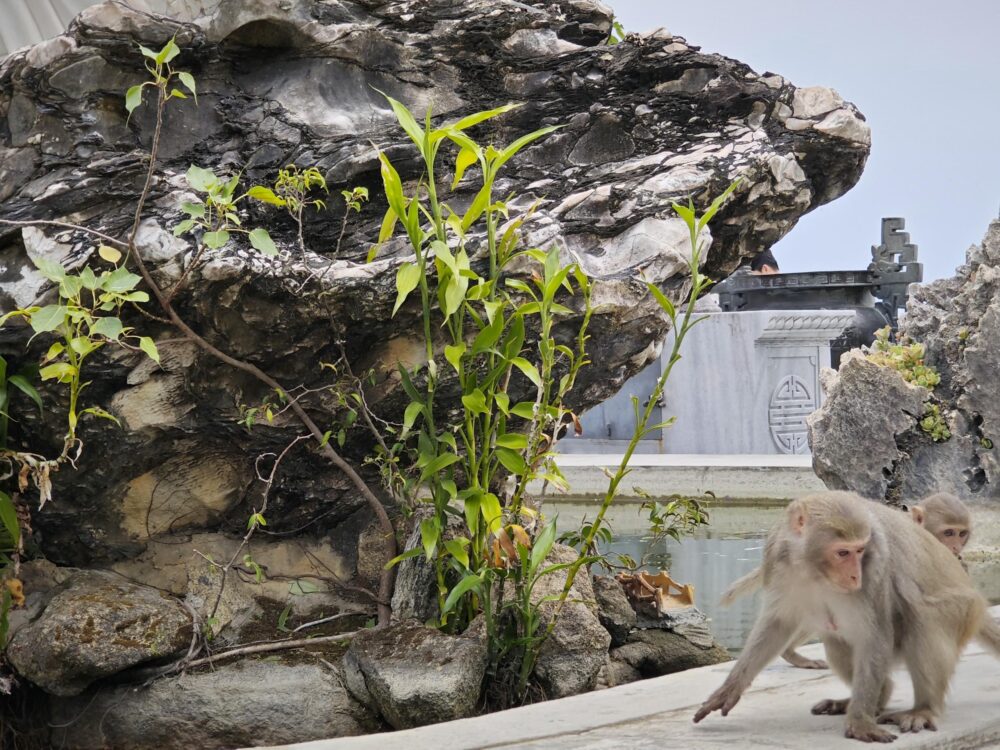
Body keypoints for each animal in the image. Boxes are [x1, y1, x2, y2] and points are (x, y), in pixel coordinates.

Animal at [694, 490, 1000, 743]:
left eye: (860, 550)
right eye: (842, 552)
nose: (855, 575)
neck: (812, 567)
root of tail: (976, 599)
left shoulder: (874, 565)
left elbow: (874, 634)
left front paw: (860, 721)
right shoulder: (777, 557)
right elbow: (778, 623)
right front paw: (730, 688)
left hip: (963, 611)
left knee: (925, 617)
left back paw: (922, 709)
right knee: (834, 637)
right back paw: (877, 695)